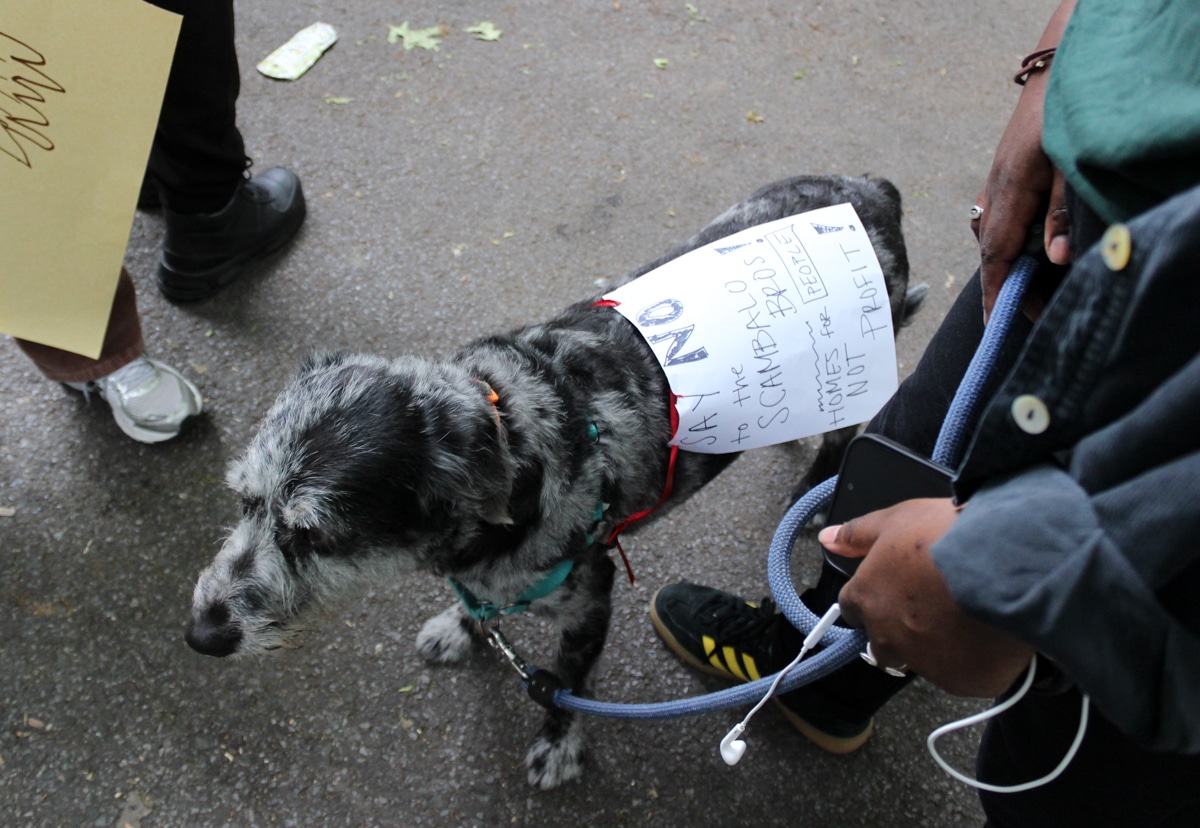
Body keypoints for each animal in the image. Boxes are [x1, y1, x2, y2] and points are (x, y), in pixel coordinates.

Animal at [184, 172, 916, 787]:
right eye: (244, 501)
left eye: (315, 536)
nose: (201, 637)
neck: (518, 447)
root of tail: (873, 189)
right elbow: (476, 609)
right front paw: (462, 627)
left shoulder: (590, 604)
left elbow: (564, 685)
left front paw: (558, 746)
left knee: (846, 439)